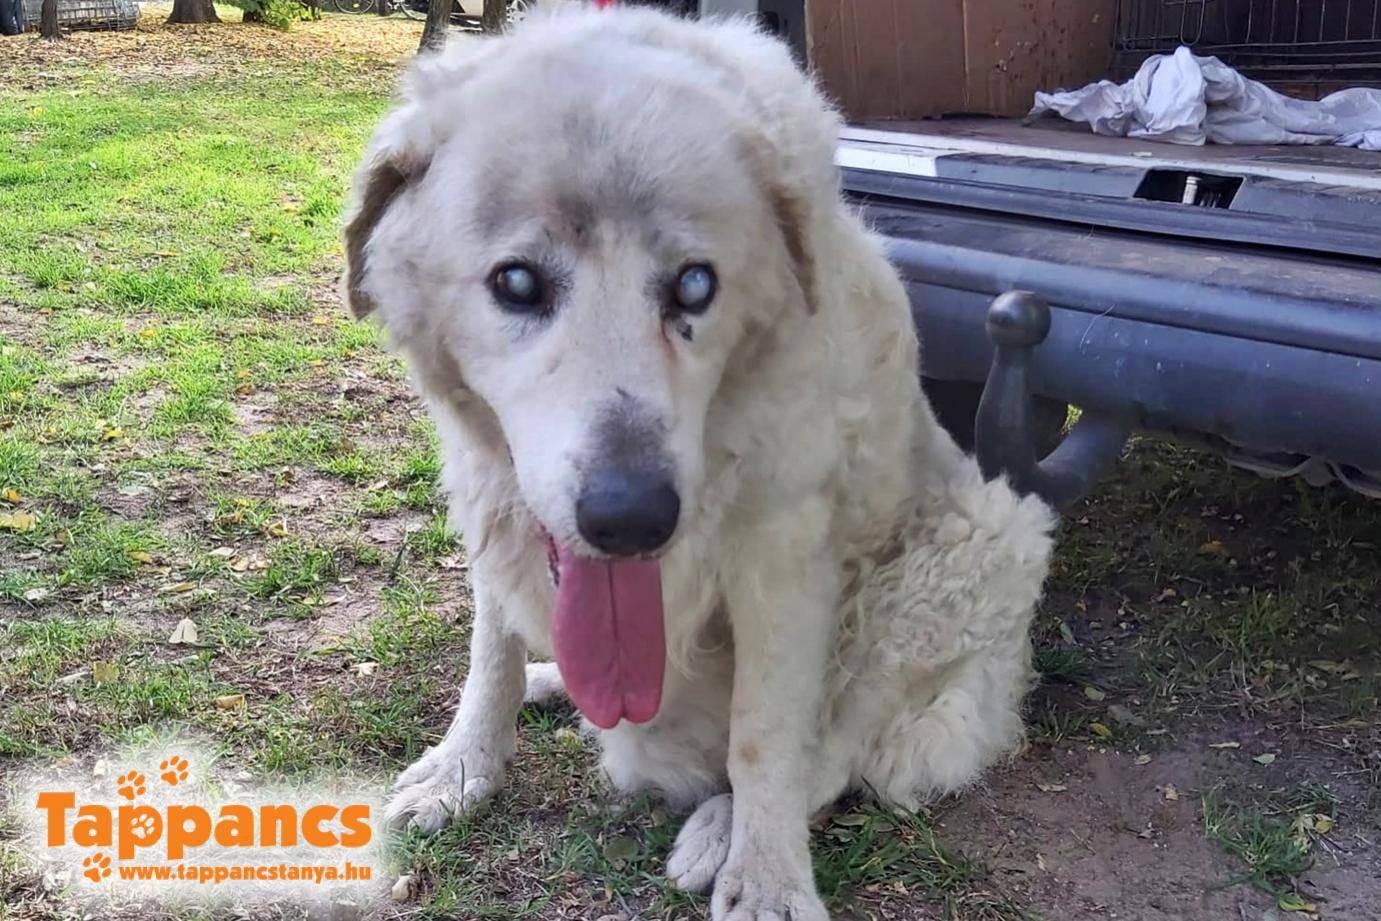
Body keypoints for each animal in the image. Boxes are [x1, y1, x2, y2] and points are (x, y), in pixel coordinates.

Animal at [342, 7, 1055, 919]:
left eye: (692, 287)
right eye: (517, 282)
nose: (629, 519)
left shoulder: (781, 557)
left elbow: (766, 738)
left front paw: (768, 877)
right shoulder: (491, 496)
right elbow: (488, 658)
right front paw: (462, 769)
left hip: (966, 552)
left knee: (837, 744)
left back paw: (722, 829)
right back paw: (554, 681)